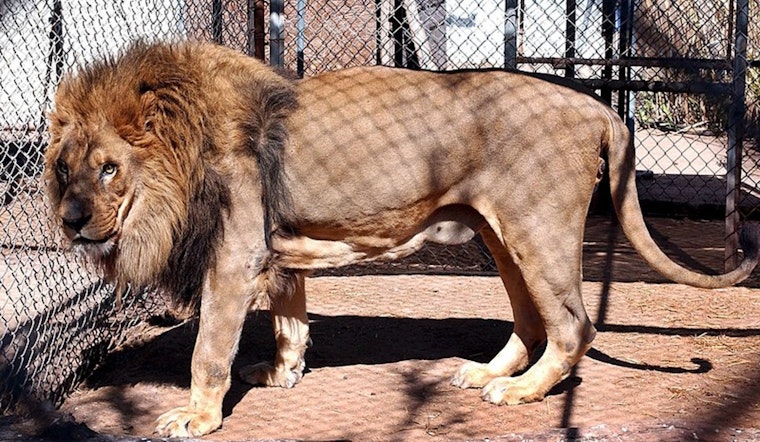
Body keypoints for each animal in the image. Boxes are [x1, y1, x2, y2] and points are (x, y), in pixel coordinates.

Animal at [45, 41, 759, 437]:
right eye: (63, 168)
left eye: (109, 168)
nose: (71, 220)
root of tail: (600, 106)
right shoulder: (277, 249)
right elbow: (289, 321)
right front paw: (282, 374)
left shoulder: (234, 256)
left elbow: (208, 352)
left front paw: (197, 418)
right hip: (499, 235)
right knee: (532, 321)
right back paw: (487, 373)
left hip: (538, 230)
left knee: (573, 325)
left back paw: (519, 391)